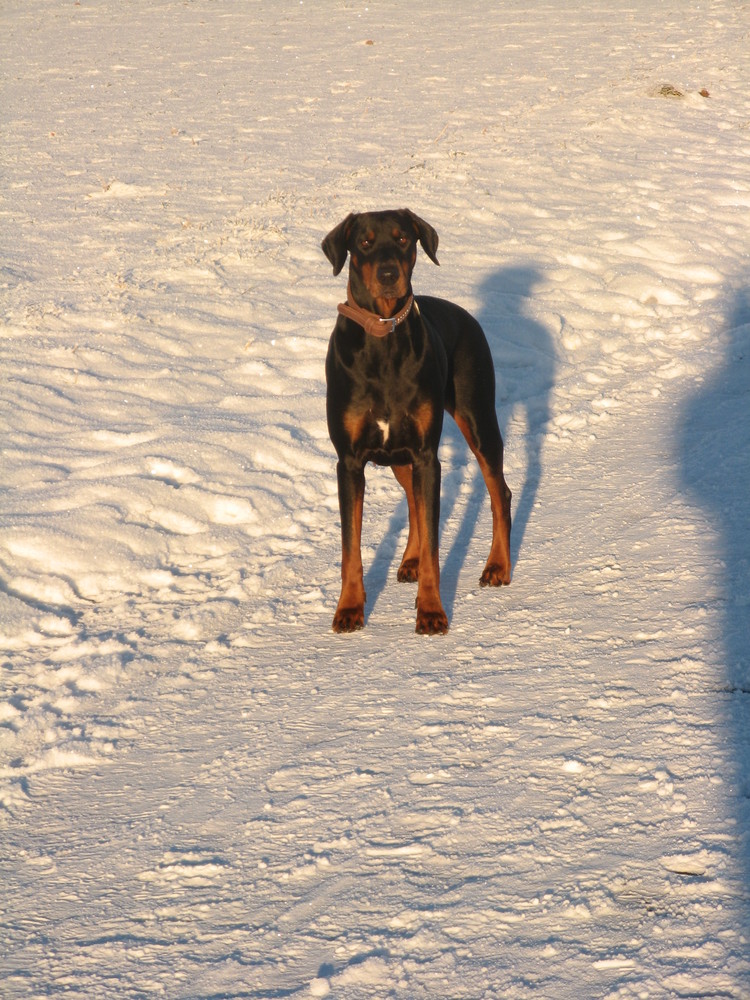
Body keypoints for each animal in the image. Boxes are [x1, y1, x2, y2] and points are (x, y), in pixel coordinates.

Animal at [320, 210, 516, 632]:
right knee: (412, 498)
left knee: (499, 493)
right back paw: (409, 559)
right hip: (399, 453)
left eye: (403, 239)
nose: (389, 274)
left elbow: (434, 545)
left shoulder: (427, 455)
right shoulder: (349, 461)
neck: (382, 336)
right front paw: (349, 609)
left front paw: (431, 611)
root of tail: (465, 313)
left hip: (477, 419)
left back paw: (498, 566)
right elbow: (351, 548)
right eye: (364, 242)